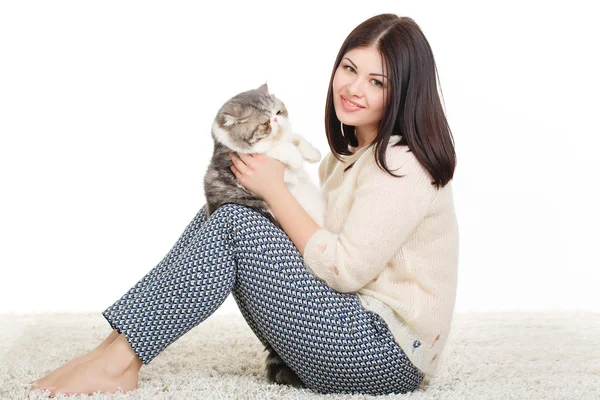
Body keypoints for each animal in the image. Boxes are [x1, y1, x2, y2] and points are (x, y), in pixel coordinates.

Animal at [203, 82, 326, 388]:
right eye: (264, 123)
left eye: (278, 112)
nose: (277, 121)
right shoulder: (245, 161)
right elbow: (279, 152)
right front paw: (292, 155)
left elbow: (296, 138)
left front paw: (310, 152)